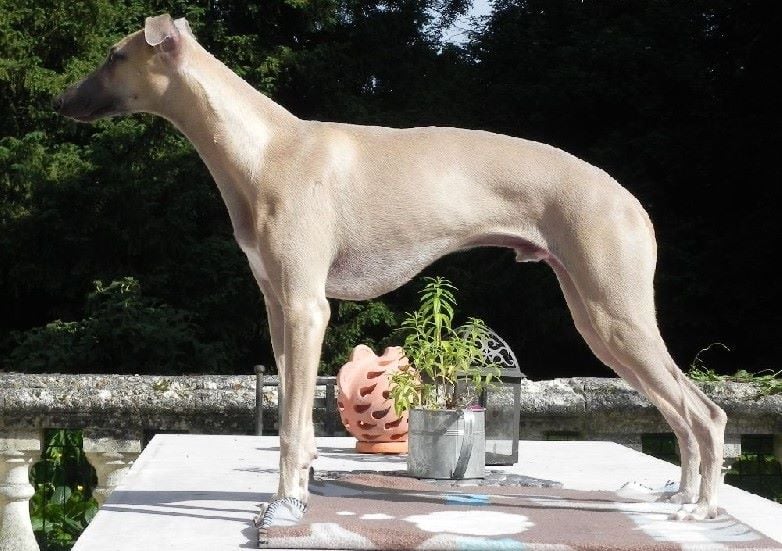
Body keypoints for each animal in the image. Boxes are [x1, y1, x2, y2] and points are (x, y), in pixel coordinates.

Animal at [54, 13, 727, 530]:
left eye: (114, 55)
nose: (57, 101)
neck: (266, 148)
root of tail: (628, 201)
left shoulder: (307, 307)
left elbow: (292, 427)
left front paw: (285, 505)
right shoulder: (279, 309)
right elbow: (292, 416)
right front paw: (295, 494)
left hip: (614, 314)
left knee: (706, 412)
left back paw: (703, 508)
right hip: (599, 319)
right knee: (681, 412)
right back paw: (679, 494)